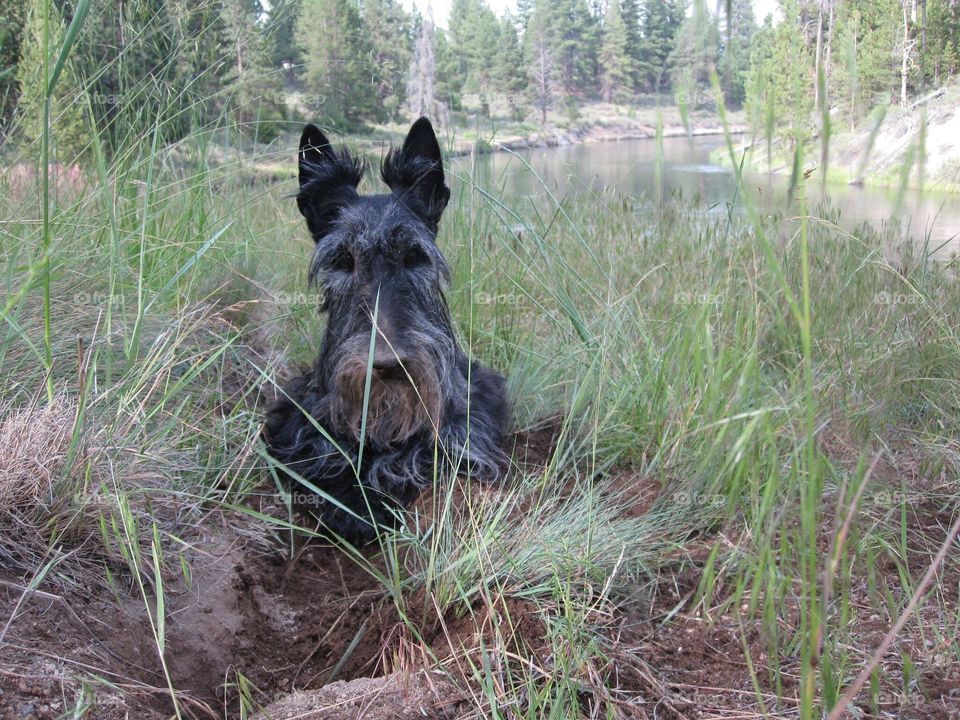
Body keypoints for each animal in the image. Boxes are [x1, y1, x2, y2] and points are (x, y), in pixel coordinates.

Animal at [264, 118, 510, 544]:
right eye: (343, 260)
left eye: (414, 256)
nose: (387, 364)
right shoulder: (296, 424)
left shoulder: (463, 429)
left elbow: (417, 460)